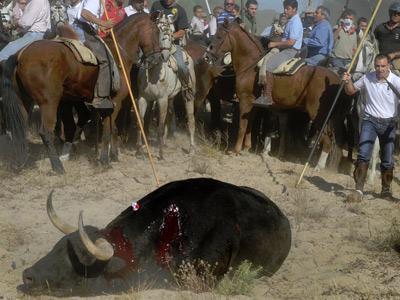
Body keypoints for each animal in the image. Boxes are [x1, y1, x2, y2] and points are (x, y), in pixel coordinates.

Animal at [1, 13, 161, 173]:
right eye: (157, 32)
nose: (157, 58)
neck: (118, 53)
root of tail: (20, 55)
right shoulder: (114, 102)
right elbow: (108, 130)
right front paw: (105, 160)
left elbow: (111, 128)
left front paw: (114, 155)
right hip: (49, 102)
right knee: (45, 131)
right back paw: (58, 167)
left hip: (24, 100)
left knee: (20, 127)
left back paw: (21, 162)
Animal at [136, 13, 195, 159]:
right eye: (158, 32)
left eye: (170, 34)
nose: (164, 56)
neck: (153, 73)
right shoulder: (142, 98)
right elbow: (140, 122)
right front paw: (139, 149)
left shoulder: (161, 99)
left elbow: (160, 127)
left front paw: (161, 154)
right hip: (170, 98)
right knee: (169, 115)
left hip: (187, 96)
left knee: (191, 119)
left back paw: (191, 148)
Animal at [206, 19, 350, 168]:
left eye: (219, 36)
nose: (208, 52)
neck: (251, 65)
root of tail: (338, 81)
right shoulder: (253, 105)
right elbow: (250, 125)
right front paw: (246, 147)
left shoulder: (245, 101)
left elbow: (242, 126)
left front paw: (236, 150)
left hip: (319, 115)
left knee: (327, 140)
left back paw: (318, 166)